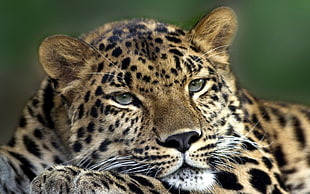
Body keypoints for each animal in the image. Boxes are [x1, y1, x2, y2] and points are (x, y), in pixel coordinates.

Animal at [0, 6, 310, 193]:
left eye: (196, 85)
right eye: (124, 98)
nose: (183, 139)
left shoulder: (253, 163)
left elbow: (157, 183)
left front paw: (74, 178)